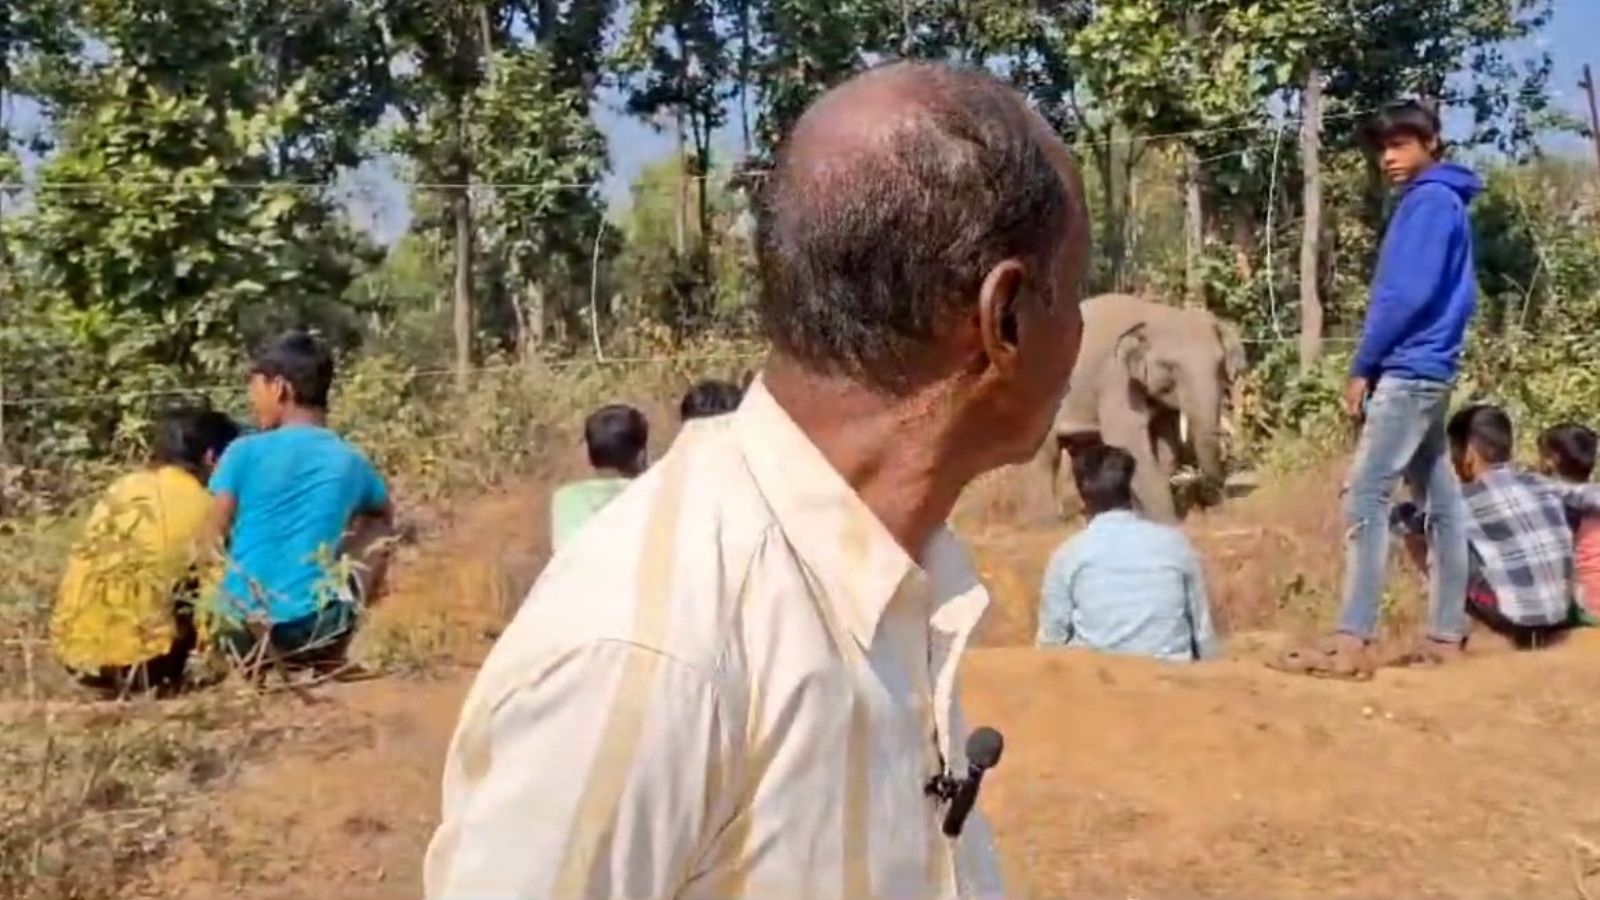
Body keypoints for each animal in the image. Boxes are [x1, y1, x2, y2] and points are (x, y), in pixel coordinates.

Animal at [1036, 291, 1248, 522]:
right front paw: (1167, 521)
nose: (1213, 502)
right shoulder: (1116, 380)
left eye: (1219, 364)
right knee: (1045, 457)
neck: (1155, 313)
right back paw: (1046, 523)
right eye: (1170, 366)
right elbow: (1131, 444)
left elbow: (1166, 448)